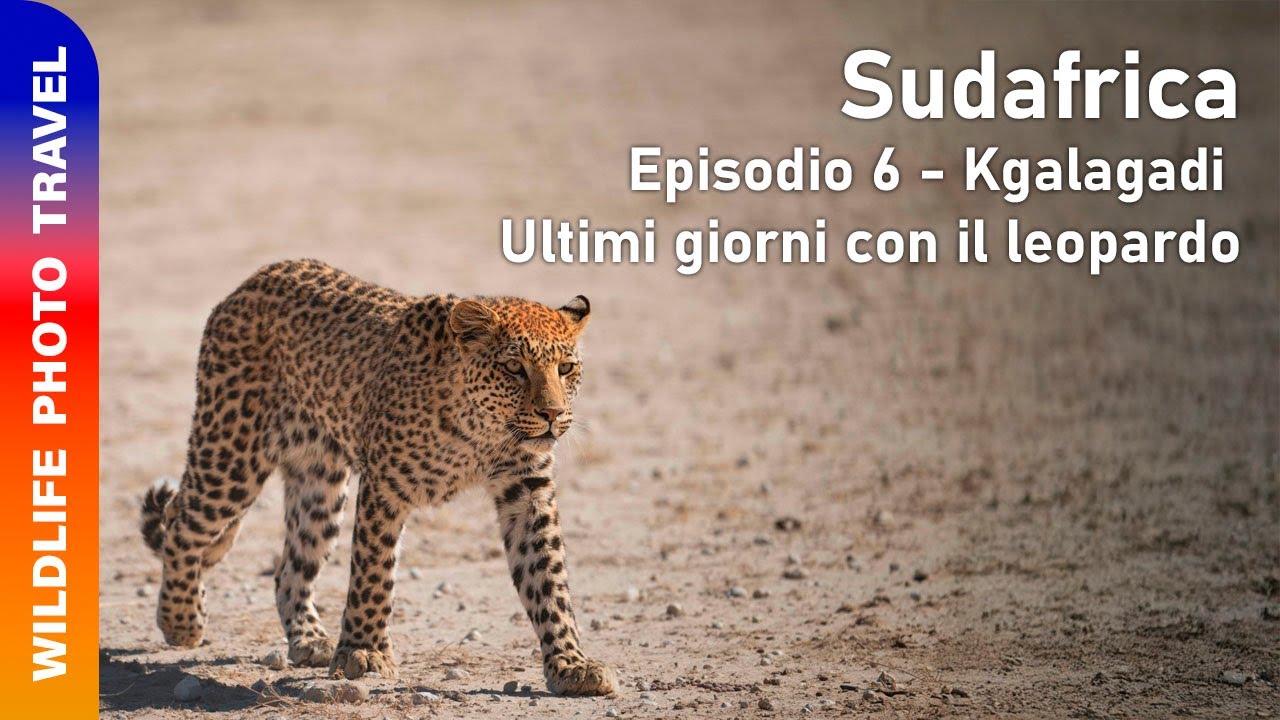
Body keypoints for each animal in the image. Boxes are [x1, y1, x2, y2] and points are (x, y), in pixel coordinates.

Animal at [138, 258, 616, 696]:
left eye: (566, 368)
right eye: (515, 367)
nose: (552, 414)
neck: (480, 432)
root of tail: (257, 277)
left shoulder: (527, 492)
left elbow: (548, 579)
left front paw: (571, 664)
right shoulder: (385, 486)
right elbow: (373, 573)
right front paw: (363, 653)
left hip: (319, 485)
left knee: (290, 567)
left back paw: (309, 640)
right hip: (231, 454)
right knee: (183, 523)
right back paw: (181, 620)